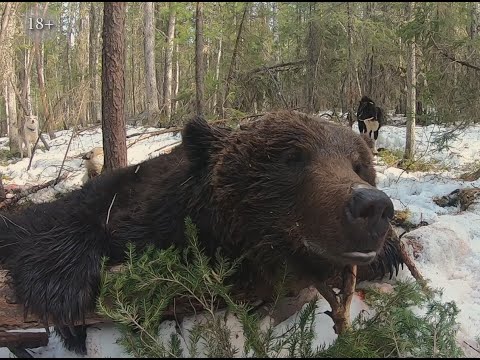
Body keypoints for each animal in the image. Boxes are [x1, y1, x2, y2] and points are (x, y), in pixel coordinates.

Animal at [0, 111, 402, 352]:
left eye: (359, 165)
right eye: (294, 158)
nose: (372, 207)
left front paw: (388, 254)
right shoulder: (137, 207)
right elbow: (50, 223)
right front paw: (59, 290)